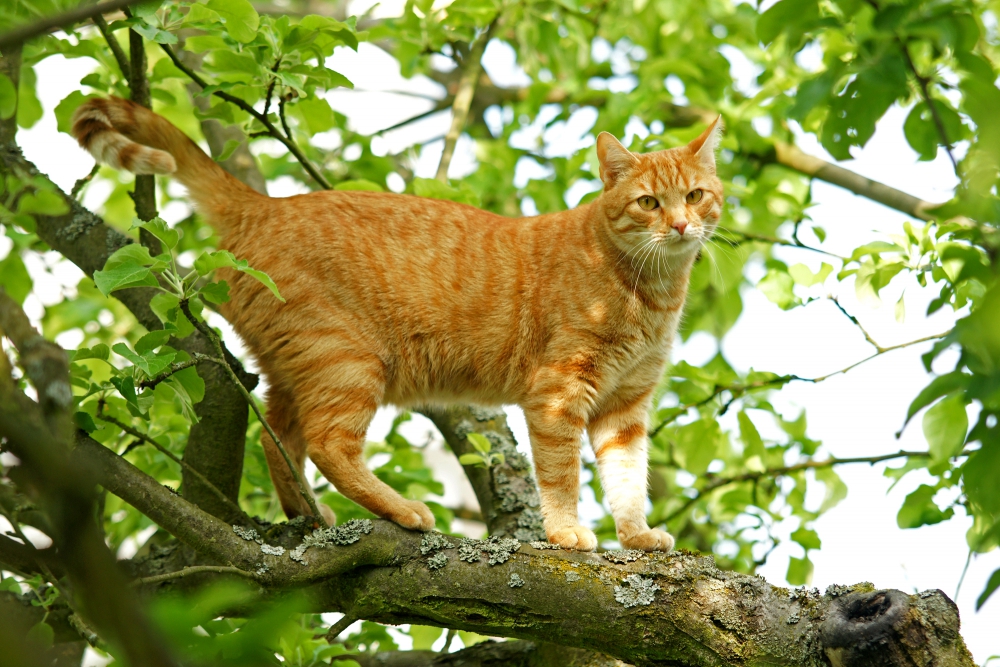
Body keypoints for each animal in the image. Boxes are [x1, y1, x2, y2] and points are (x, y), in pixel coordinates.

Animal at [74, 96, 724, 552]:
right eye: (648, 203)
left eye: (695, 195)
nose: (680, 226)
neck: (652, 291)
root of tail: (267, 204)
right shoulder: (559, 393)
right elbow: (562, 476)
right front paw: (567, 533)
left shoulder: (625, 407)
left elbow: (627, 480)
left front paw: (636, 536)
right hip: (349, 361)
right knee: (327, 442)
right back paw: (399, 509)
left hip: (297, 369)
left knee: (277, 437)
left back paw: (307, 513)